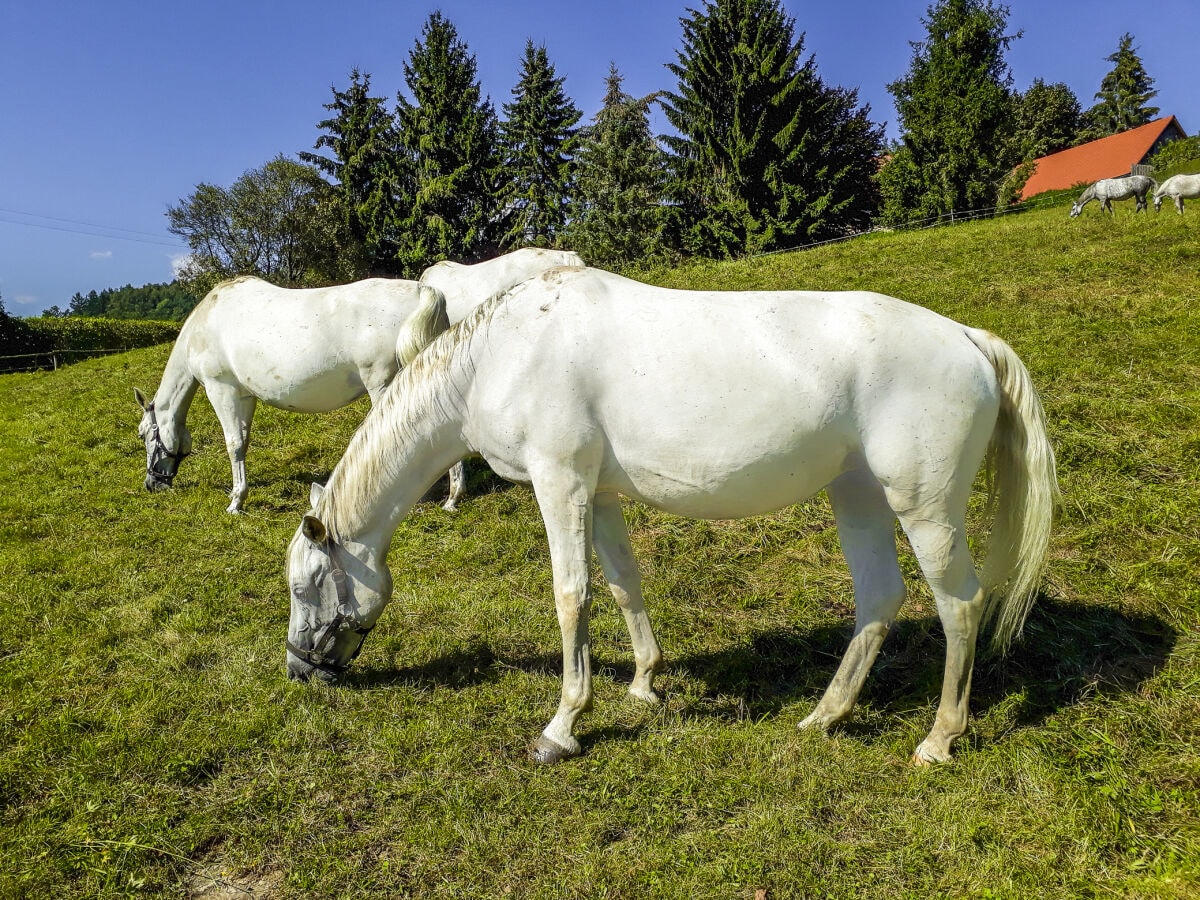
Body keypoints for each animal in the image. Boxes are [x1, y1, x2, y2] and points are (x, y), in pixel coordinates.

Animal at [135, 247, 580, 513]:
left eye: (144, 435)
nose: (152, 484)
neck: (208, 319)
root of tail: (423, 291)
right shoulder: (245, 397)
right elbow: (243, 440)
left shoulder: (222, 388)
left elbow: (233, 444)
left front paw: (236, 501)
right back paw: (453, 497)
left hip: (384, 384)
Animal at [285, 266, 1056, 768]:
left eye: (304, 585)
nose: (299, 670)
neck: (501, 353)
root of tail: (967, 338)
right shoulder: (595, 495)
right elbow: (623, 585)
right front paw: (643, 685)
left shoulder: (559, 483)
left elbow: (572, 597)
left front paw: (562, 727)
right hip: (858, 494)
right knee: (879, 599)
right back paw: (823, 717)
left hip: (924, 509)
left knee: (960, 605)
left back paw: (939, 739)